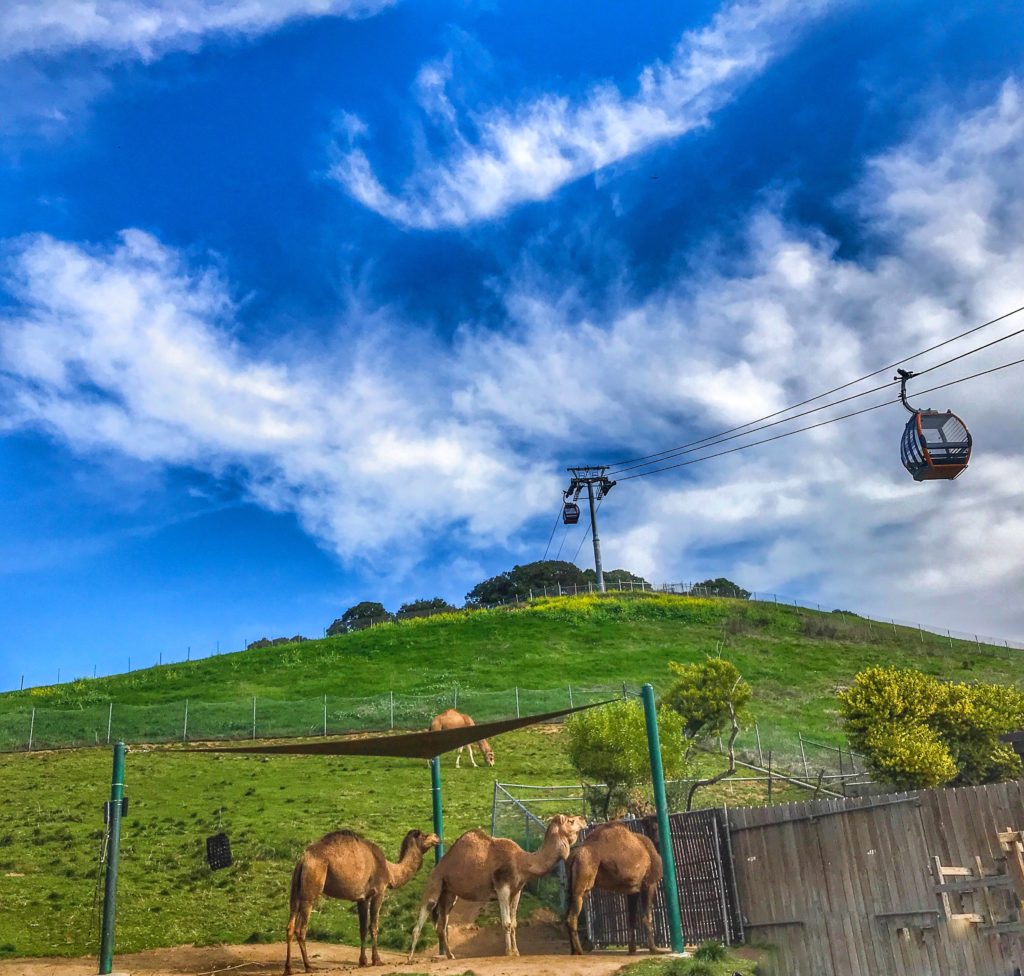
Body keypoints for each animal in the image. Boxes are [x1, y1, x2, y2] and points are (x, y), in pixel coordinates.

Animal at [284, 827, 440, 970]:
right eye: (424, 835)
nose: (436, 837)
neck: (390, 871)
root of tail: (303, 860)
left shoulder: (363, 898)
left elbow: (363, 928)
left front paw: (363, 961)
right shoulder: (379, 891)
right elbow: (374, 926)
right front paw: (377, 960)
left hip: (296, 889)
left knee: (290, 925)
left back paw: (288, 968)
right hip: (311, 887)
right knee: (301, 928)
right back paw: (308, 966)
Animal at [405, 807, 585, 958]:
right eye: (570, 821)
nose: (583, 818)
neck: (523, 862)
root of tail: (437, 867)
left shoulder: (517, 891)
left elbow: (514, 923)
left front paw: (516, 952)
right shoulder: (502, 887)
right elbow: (506, 923)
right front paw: (508, 953)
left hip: (448, 894)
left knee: (441, 926)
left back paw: (451, 956)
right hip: (435, 883)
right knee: (422, 918)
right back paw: (410, 958)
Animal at [561, 819, 663, 954]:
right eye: (651, 825)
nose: (657, 835)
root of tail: (574, 855)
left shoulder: (633, 890)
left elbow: (631, 918)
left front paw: (632, 950)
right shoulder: (649, 883)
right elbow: (648, 917)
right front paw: (654, 949)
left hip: (570, 886)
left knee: (567, 913)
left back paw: (573, 951)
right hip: (583, 880)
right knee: (572, 917)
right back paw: (579, 951)